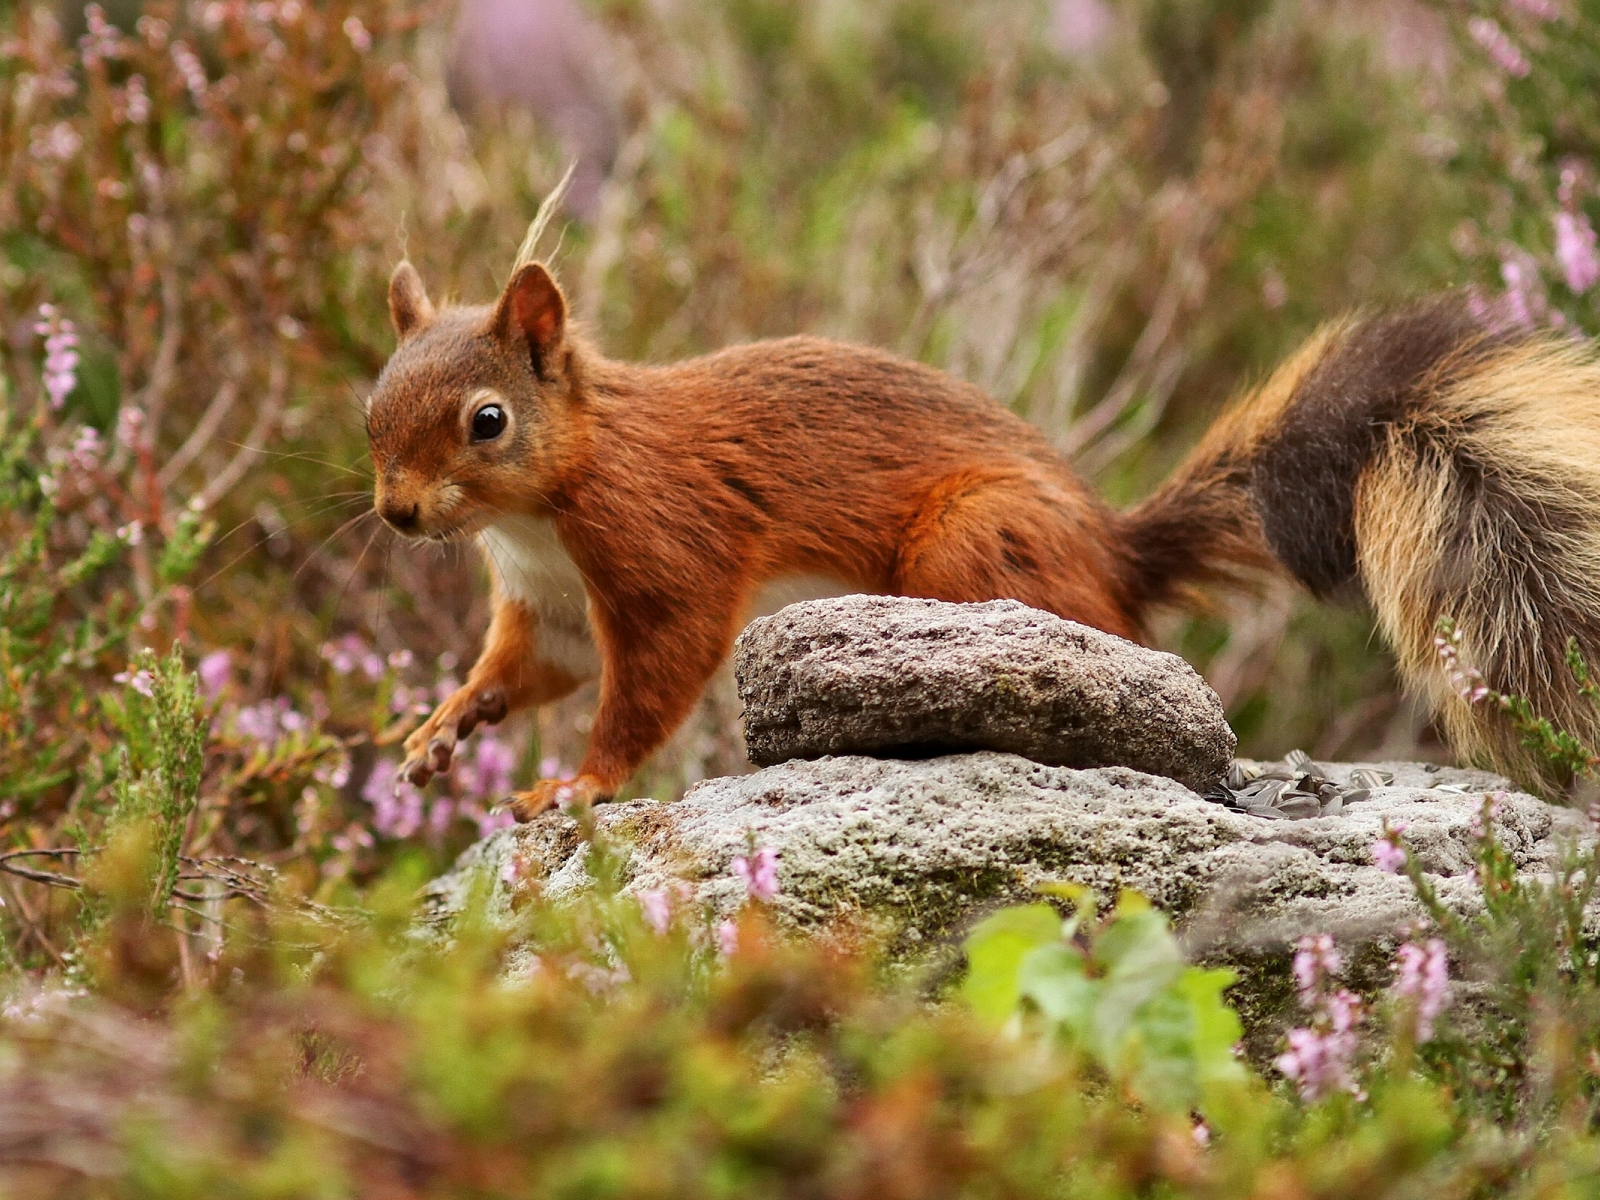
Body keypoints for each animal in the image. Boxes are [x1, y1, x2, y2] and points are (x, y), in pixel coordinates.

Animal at [368, 236, 1600, 819]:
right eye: (371, 407)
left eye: (487, 421)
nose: (396, 513)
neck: (540, 514)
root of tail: (1113, 553)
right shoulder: (550, 606)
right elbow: (526, 671)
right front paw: (437, 732)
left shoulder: (666, 548)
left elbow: (650, 679)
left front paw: (575, 785)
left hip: (971, 542)